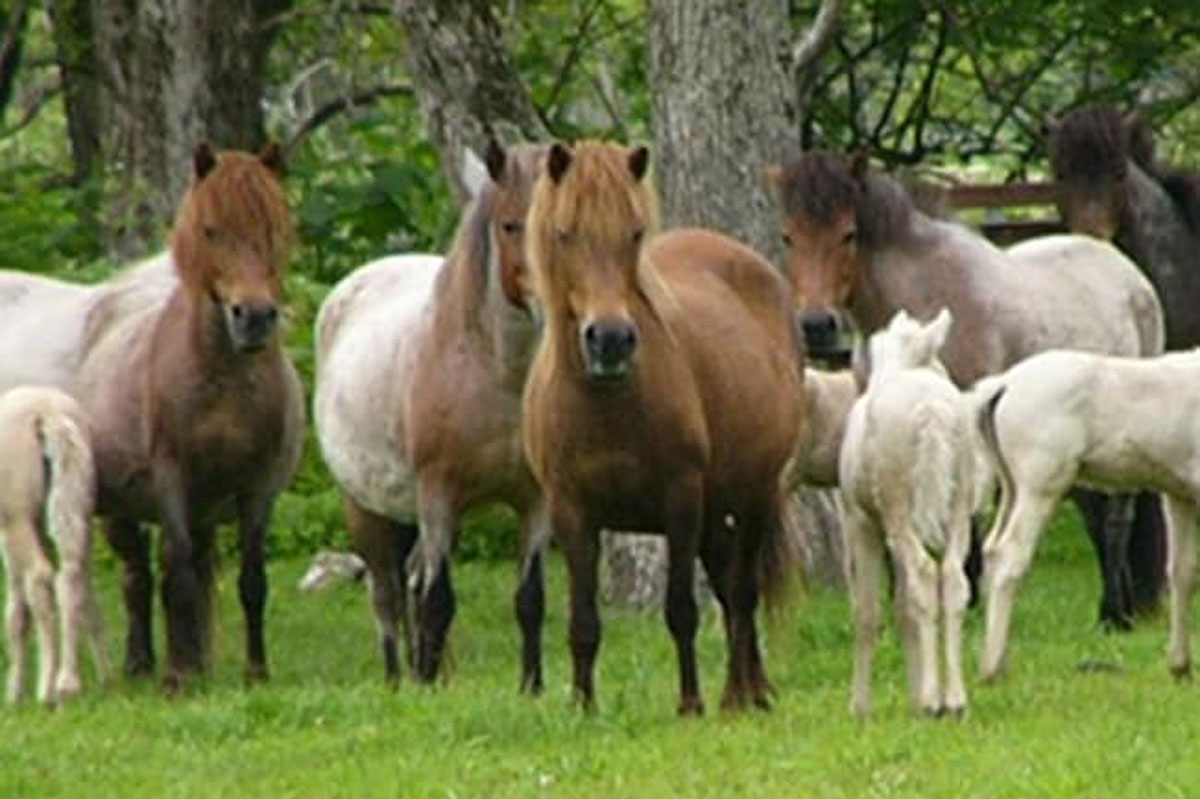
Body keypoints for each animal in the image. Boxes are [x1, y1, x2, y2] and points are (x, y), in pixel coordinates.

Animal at [0, 386, 108, 705]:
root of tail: (51, 413)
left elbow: (15, 610)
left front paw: (14, 692)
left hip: (18, 515)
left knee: (40, 579)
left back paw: (47, 688)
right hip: (77, 501)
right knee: (74, 577)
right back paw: (87, 680)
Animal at [525, 139, 806, 710]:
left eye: (634, 233)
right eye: (565, 233)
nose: (610, 339)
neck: (606, 403)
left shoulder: (680, 500)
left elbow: (681, 611)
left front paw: (691, 704)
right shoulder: (571, 512)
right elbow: (582, 623)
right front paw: (582, 706)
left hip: (754, 496)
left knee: (742, 592)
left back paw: (738, 696)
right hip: (716, 512)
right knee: (728, 586)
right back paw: (750, 688)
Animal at [840, 309, 979, 715]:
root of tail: (932, 410)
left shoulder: (862, 520)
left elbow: (868, 612)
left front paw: (860, 706)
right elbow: (904, 609)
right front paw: (915, 695)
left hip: (896, 503)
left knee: (924, 573)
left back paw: (935, 700)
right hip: (958, 502)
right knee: (952, 580)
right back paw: (954, 698)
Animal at [979, 345, 1200, 676]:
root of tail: (1005, 383)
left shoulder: (1179, 493)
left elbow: (1182, 572)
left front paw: (1179, 666)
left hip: (1011, 487)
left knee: (992, 550)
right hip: (1040, 488)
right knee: (1010, 556)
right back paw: (992, 669)